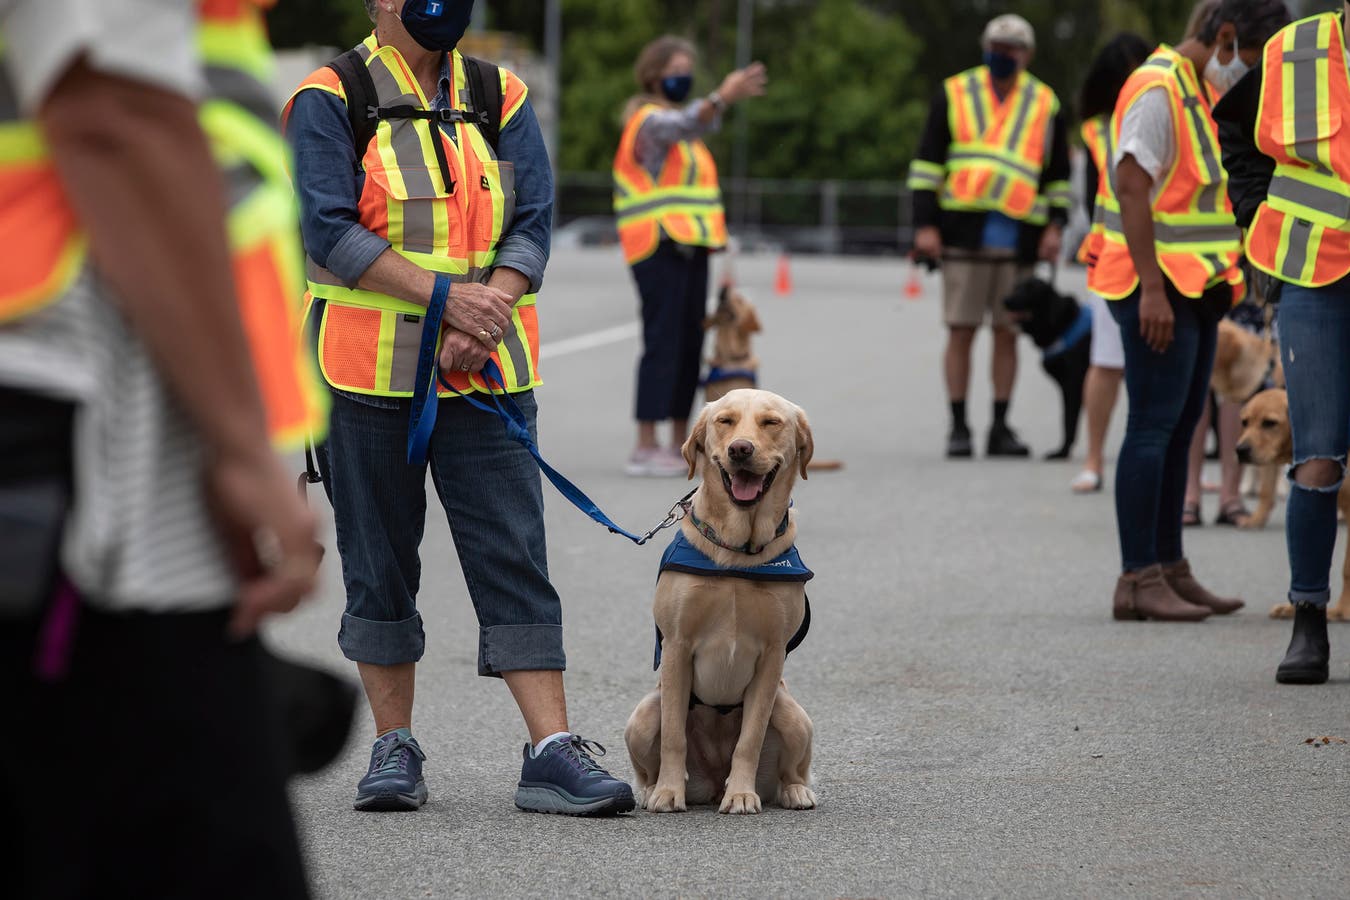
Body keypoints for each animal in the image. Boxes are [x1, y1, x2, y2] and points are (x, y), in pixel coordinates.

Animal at [1004, 276, 1096, 461]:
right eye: (1016, 287)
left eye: (1030, 289)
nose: (1005, 300)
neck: (1061, 325)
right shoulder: (1067, 387)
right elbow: (1067, 419)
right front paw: (1063, 450)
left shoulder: (1073, 385)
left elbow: (1068, 420)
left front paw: (1062, 452)